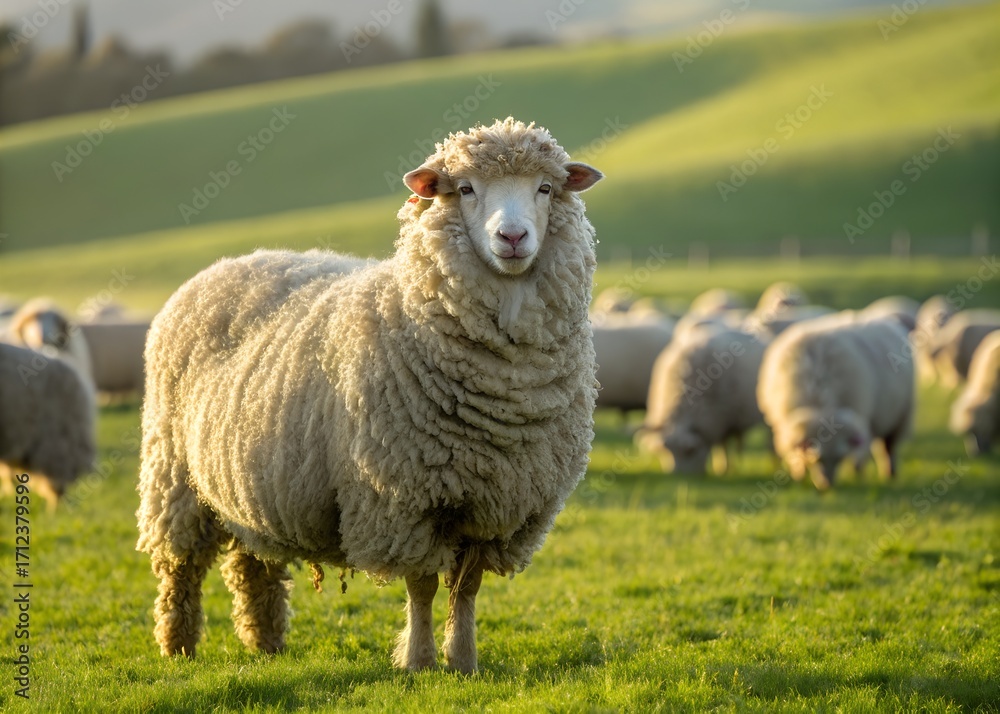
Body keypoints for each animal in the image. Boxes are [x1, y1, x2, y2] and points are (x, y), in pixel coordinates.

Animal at [135, 118, 603, 673]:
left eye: (546, 188)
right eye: (465, 189)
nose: (512, 237)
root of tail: (229, 262)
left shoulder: (494, 507)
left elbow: (466, 589)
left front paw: (464, 661)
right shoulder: (403, 502)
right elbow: (423, 586)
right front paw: (419, 660)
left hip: (246, 479)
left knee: (252, 564)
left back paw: (265, 643)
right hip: (173, 475)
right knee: (180, 569)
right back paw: (178, 647)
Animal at [636, 324, 766, 475]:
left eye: (691, 450)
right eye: (665, 451)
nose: (679, 476)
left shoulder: (721, 419)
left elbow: (722, 445)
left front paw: (723, 468)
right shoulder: (718, 421)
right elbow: (721, 446)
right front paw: (721, 467)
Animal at [757, 311, 914, 490]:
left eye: (840, 458)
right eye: (817, 459)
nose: (826, 486)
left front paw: (858, 476)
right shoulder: (785, 424)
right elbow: (794, 454)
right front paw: (799, 475)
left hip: (900, 417)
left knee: (888, 449)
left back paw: (889, 474)